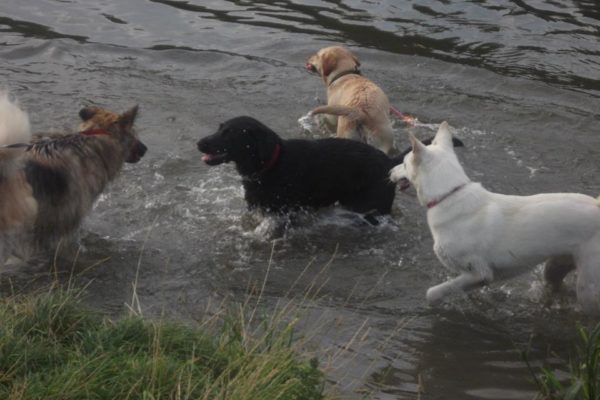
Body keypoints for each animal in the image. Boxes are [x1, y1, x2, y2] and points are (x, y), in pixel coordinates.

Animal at [199, 117, 462, 223]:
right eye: (219, 128)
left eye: (229, 134)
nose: (199, 143)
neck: (270, 166)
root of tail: (388, 162)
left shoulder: (284, 214)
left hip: (369, 206)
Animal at [390, 122, 600, 312]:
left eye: (404, 163)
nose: (390, 171)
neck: (448, 194)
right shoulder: (476, 278)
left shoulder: (480, 273)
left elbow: (433, 292)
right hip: (555, 267)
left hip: (588, 289)